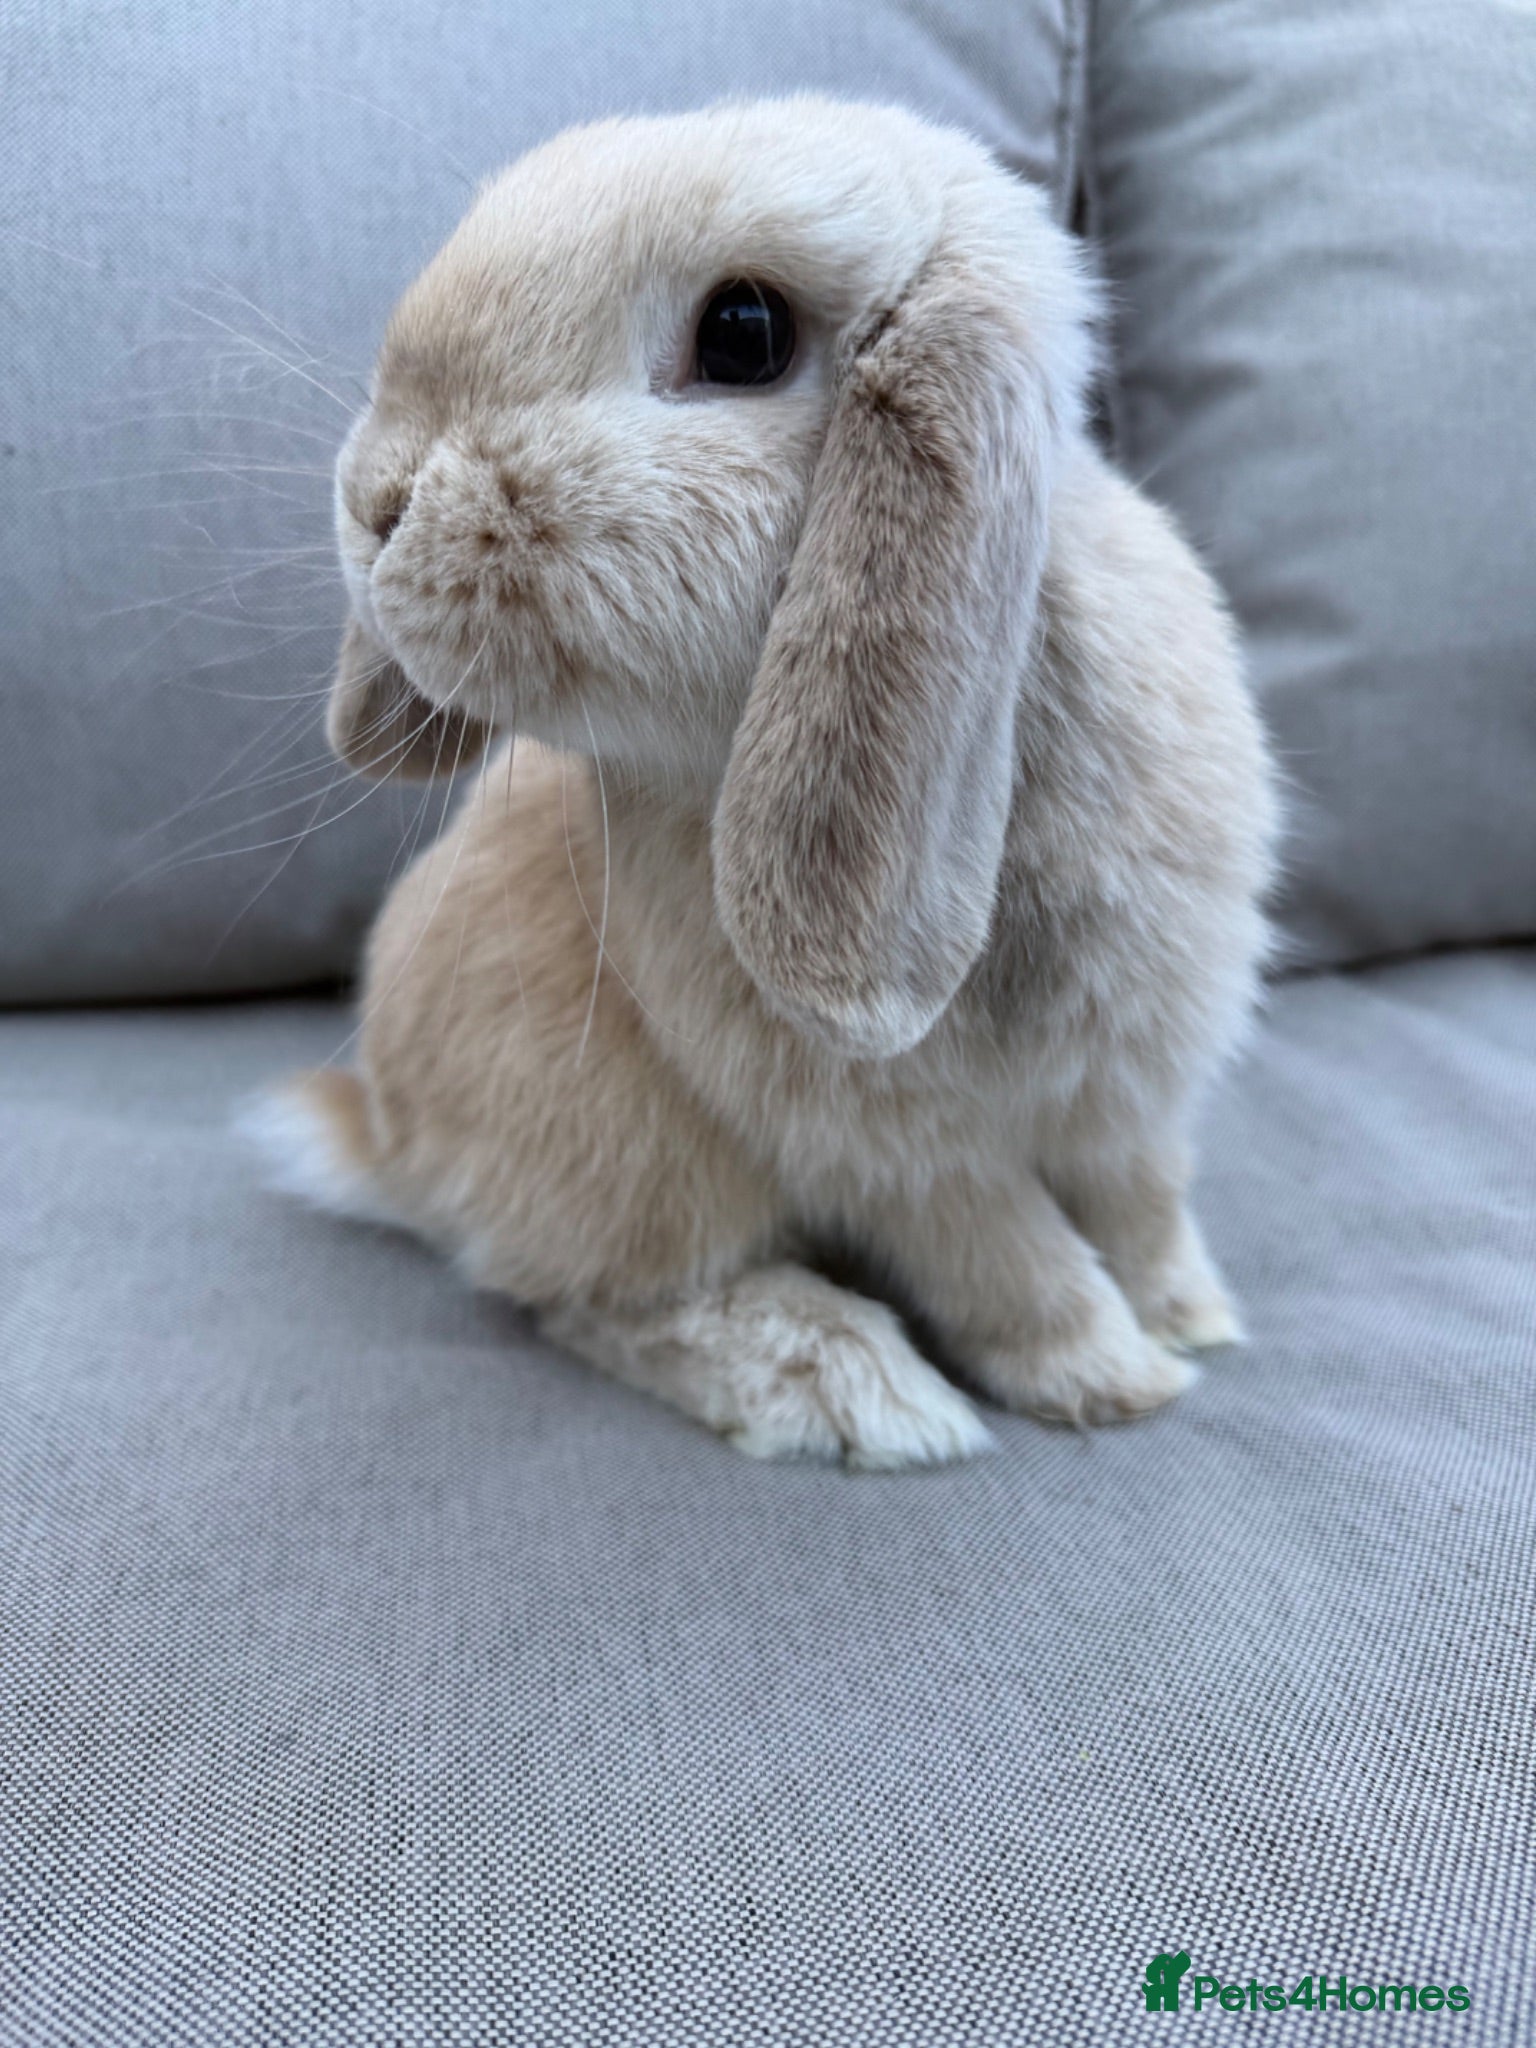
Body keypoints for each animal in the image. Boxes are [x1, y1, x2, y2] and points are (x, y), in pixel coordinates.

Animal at [244, 98, 1278, 1470]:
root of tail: (389, 1137)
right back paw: (846, 1384)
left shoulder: (1132, 1093)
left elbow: (1146, 1203)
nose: (376, 502)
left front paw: (1192, 1321)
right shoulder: (900, 1154)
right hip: (637, 1157)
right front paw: (1116, 1380)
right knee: (592, 1300)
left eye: (744, 334)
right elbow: (1014, 1260)